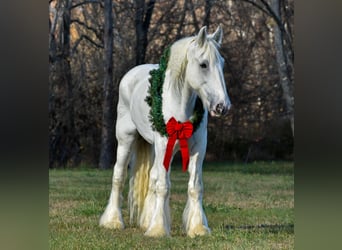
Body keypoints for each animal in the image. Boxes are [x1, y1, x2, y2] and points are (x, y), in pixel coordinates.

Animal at [99, 25, 232, 238]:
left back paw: (146, 221)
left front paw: (198, 228)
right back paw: (113, 221)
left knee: (152, 177)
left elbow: (194, 187)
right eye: (203, 64)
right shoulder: (164, 146)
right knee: (118, 176)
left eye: (222, 63)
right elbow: (163, 186)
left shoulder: (198, 149)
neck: (179, 107)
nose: (222, 106)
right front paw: (158, 230)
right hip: (126, 140)